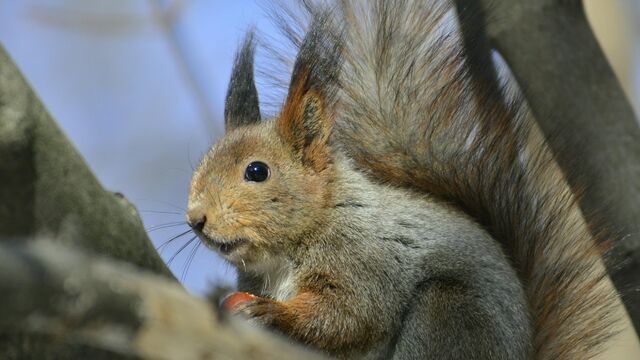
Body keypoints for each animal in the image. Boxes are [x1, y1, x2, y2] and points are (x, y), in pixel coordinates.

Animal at [185, 1, 624, 358]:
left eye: (257, 171)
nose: (196, 220)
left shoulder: (364, 262)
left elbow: (350, 315)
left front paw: (271, 312)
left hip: (445, 315)